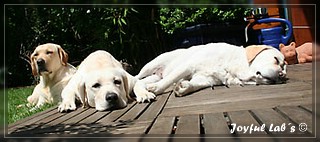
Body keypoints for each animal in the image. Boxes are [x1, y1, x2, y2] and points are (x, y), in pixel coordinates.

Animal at [135, 42, 288, 99]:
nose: (281, 76)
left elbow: (194, 85)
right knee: (136, 77)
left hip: (154, 75)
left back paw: (143, 93)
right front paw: (157, 88)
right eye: (276, 59)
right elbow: (170, 79)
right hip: (151, 65)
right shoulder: (188, 66)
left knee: (139, 83)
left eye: (284, 70)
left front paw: (184, 87)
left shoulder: (206, 79)